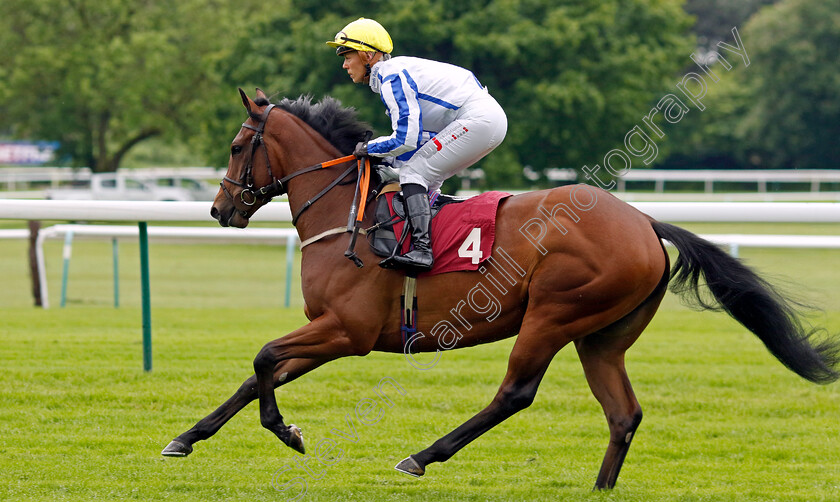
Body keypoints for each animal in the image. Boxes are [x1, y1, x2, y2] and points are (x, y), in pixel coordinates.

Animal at [162, 88, 840, 488]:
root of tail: (645, 223)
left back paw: (422, 456)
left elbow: (263, 360)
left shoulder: (346, 331)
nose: (220, 210)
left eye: (237, 145)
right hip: (601, 337)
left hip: (554, 313)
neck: (346, 217)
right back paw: (600, 488)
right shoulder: (330, 330)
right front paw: (185, 439)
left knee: (515, 393)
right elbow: (258, 374)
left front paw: (288, 432)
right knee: (623, 413)